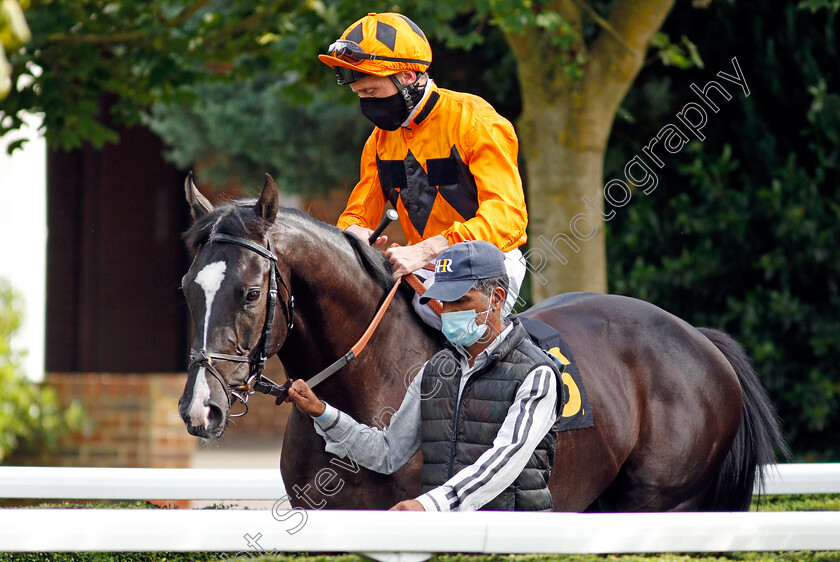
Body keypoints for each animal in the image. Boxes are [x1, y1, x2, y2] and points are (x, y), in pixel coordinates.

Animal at [177, 175, 788, 512]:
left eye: (249, 292)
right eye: (186, 287)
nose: (199, 409)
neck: (367, 382)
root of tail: (699, 340)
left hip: (664, 501)